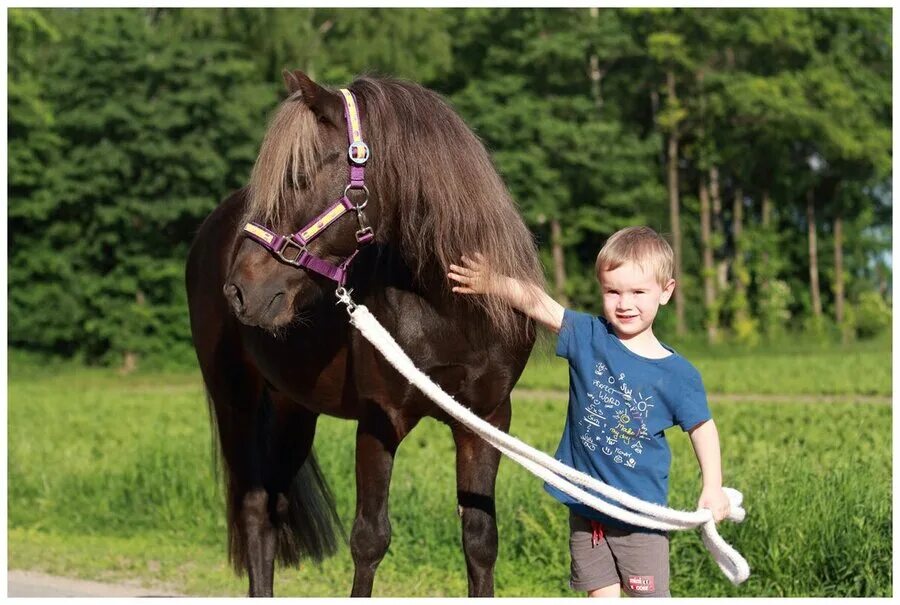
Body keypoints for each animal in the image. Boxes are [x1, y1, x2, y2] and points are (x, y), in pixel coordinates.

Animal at [185, 71, 540, 596]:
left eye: (298, 177)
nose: (241, 291)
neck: (450, 310)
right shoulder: (379, 420)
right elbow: (370, 540)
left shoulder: (487, 420)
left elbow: (480, 541)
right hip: (235, 400)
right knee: (254, 508)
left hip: (293, 407)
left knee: (275, 504)